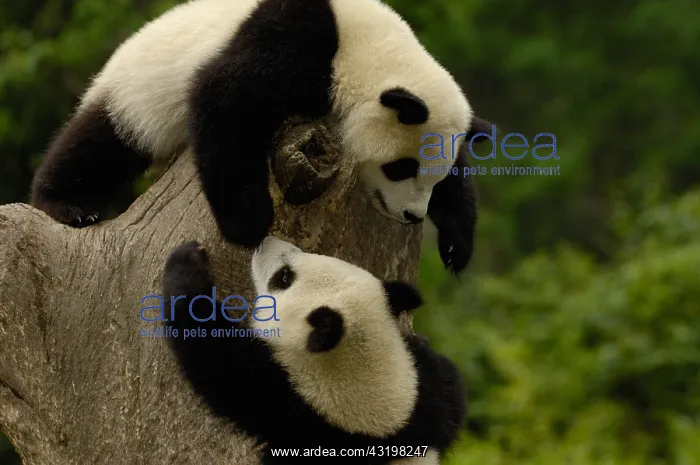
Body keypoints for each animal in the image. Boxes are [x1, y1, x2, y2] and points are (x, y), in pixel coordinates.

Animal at [31, 0, 490, 274]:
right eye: (401, 168)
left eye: (432, 177)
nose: (412, 215)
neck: (369, 53)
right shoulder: (302, 44)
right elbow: (225, 98)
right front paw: (248, 223)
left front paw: (456, 245)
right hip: (136, 95)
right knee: (101, 143)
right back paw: (66, 204)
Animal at [162, 236, 466, 464]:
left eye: (284, 278)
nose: (264, 240)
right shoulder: (424, 404)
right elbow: (449, 388)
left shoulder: (291, 409)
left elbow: (217, 361)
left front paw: (187, 265)